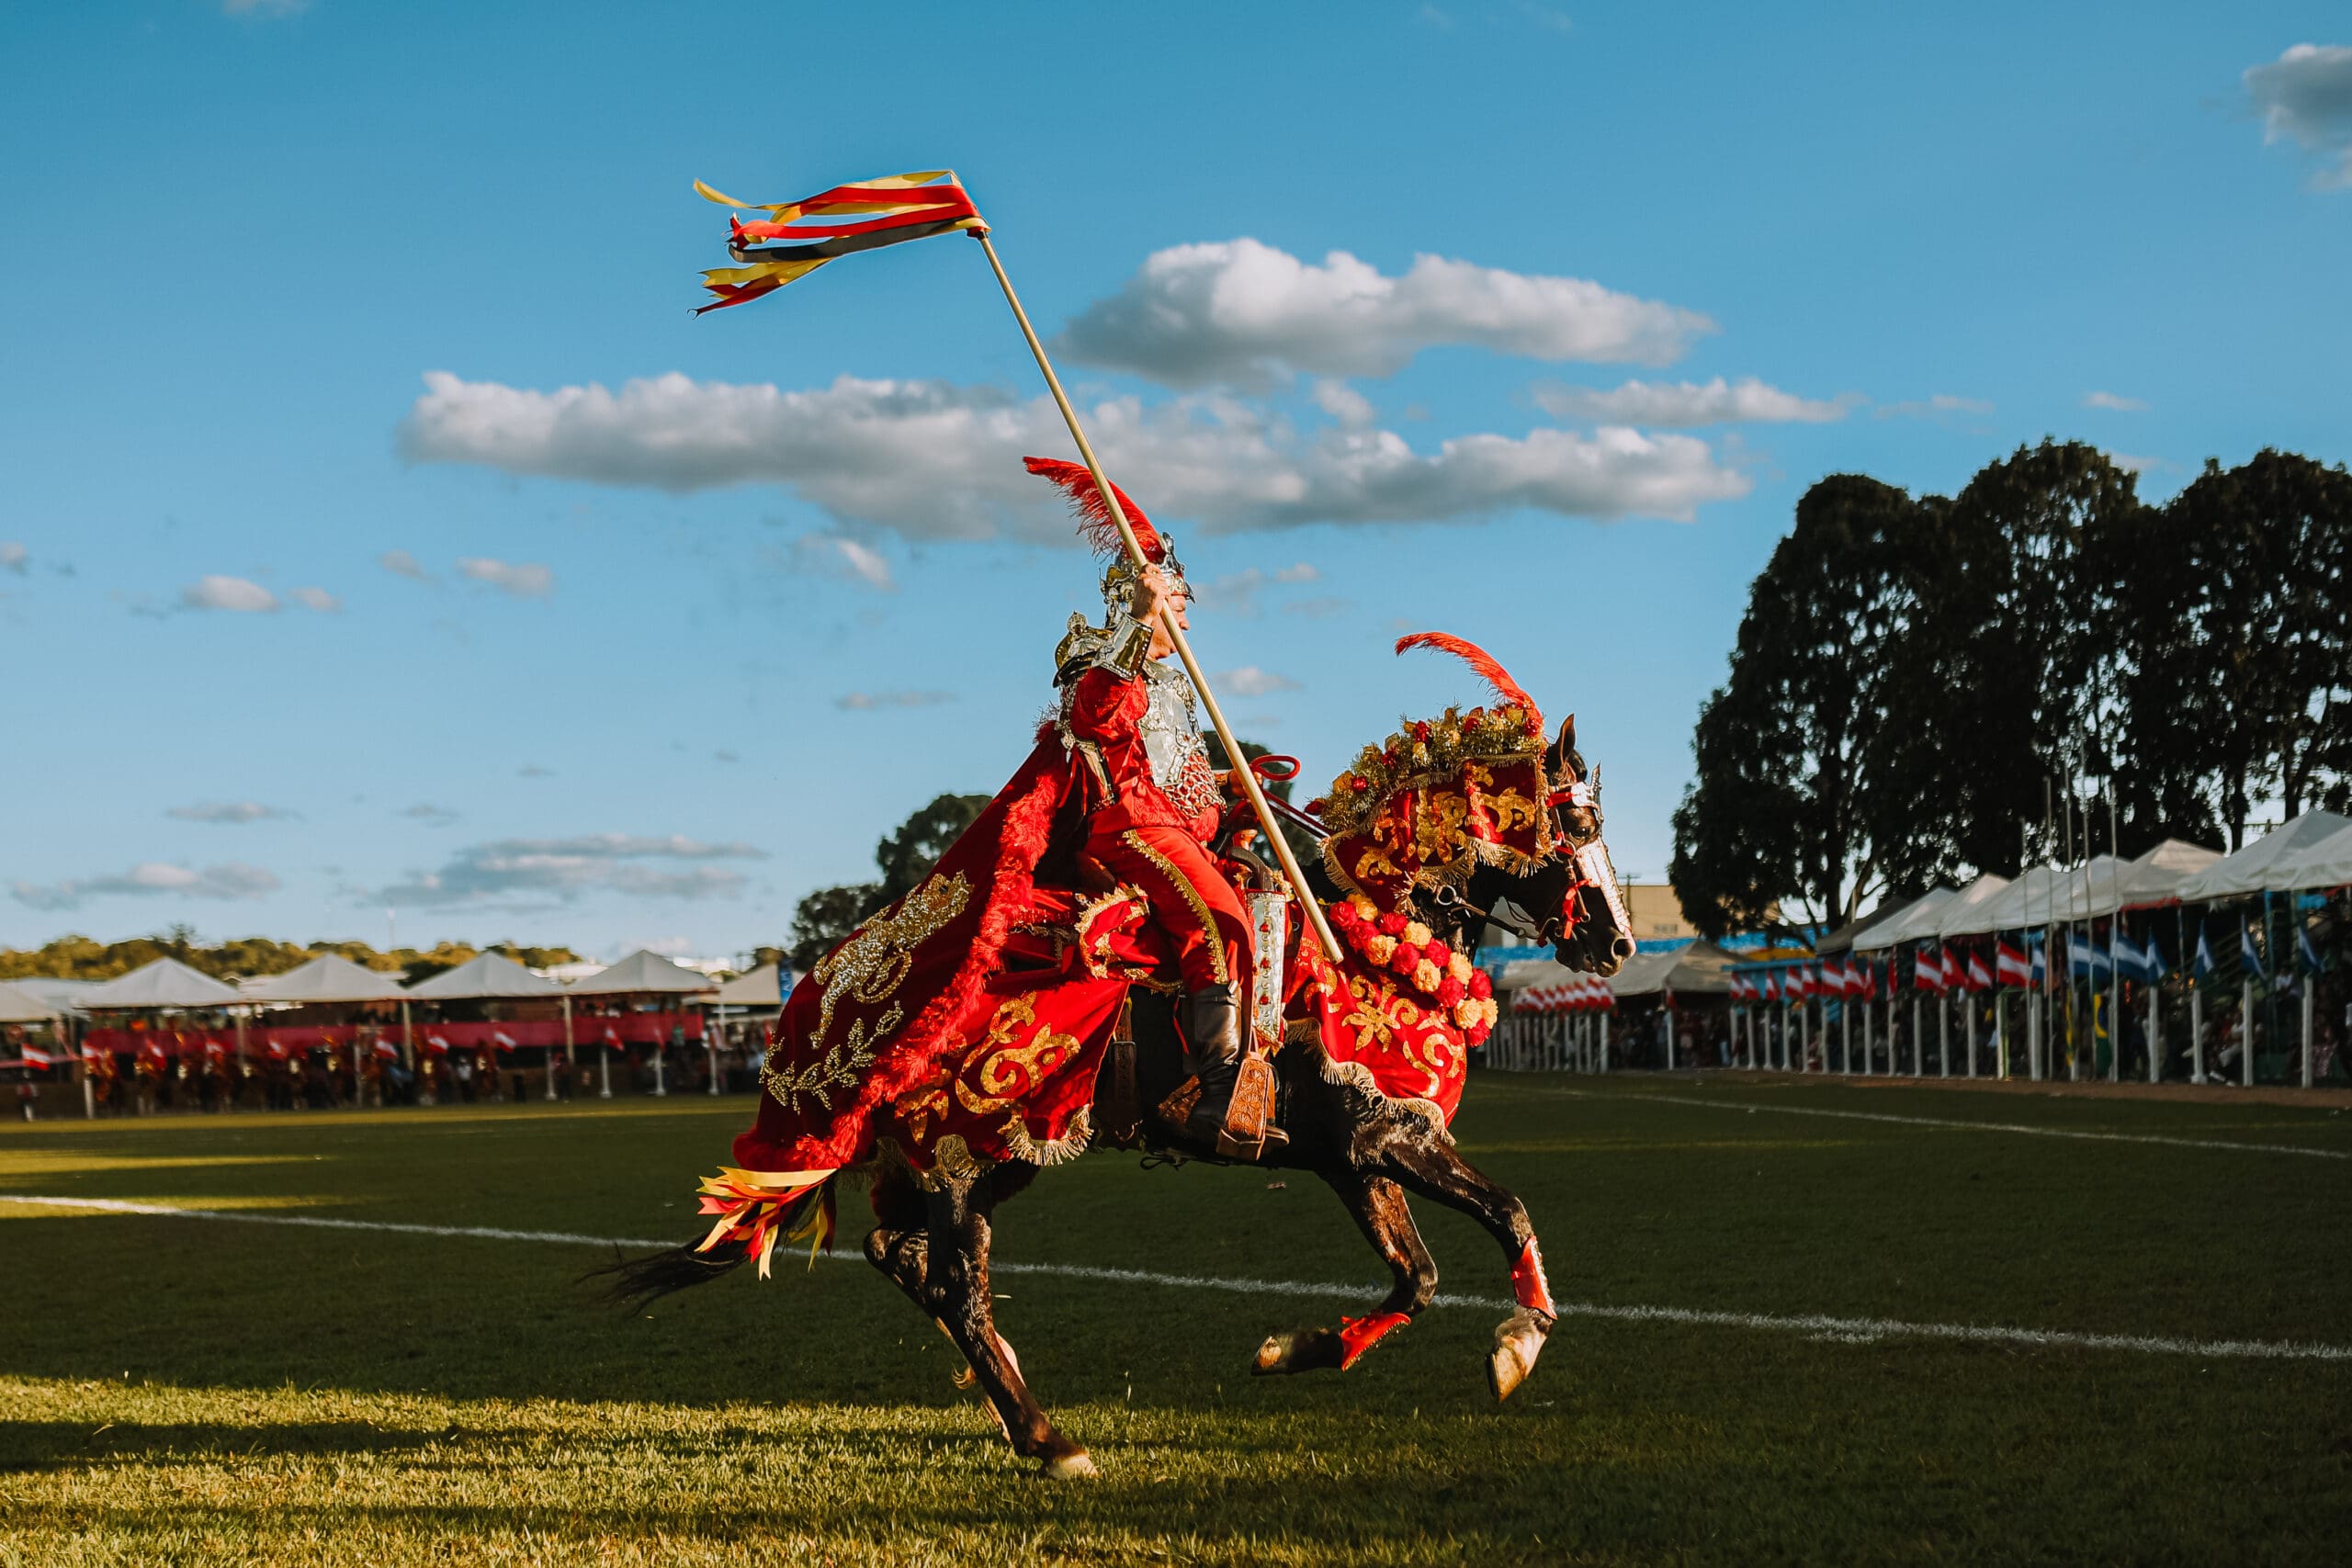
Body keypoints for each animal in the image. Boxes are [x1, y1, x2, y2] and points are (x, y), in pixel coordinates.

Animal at [602, 719, 1636, 1476]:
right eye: (1577, 825)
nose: (1616, 944)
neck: (1372, 937)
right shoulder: (1387, 1141)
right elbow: (1508, 1209)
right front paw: (1518, 1346)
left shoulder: (1352, 1158)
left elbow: (1414, 1274)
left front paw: (1296, 1349)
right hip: (971, 1155)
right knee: (954, 1280)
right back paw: (1046, 1438)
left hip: (970, 1160)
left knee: (896, 1252)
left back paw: (1007, 1393)